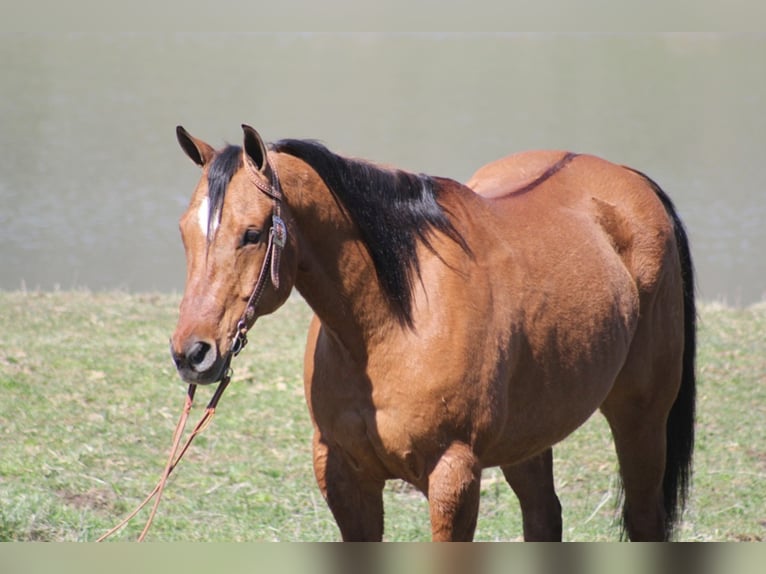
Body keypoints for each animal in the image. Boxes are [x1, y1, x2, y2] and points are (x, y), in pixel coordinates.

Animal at [171, 126, 700, 544]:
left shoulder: (453, 478)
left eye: (252, 233)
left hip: (640, 417)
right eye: (184, 233)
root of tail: (628, 178)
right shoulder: (343, 475)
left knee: (644, 519)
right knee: (544, 519)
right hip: (528, 436)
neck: (391, 325)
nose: (191, 354)